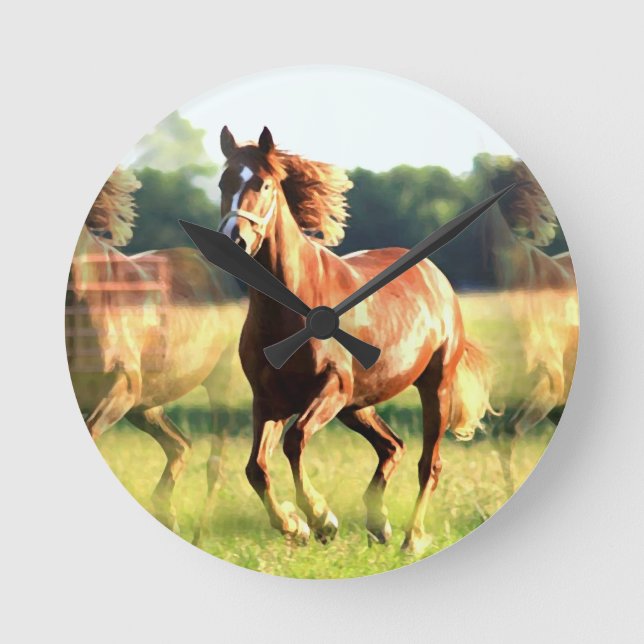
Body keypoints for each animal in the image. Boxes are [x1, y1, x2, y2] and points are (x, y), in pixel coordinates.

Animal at [66, 167, 238, 536]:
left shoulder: (121, 388)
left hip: (219, 383)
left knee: (215, 466)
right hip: (147, 404)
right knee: (181, 445)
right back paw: (168, 515)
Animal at [215, 126, 493, 553]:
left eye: (263, 184)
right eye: (222, 183)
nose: (235, 243)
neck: (291, 311)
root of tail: (436, 276)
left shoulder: (332, 387)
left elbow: (294, 441)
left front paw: (320, 519)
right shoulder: (268, 401)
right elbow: (256, 468)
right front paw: (294, 525)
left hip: (432, 388)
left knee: (428, 464)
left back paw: (411, 538)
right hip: (357, 405)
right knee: (392, 446)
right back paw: (378, 525)